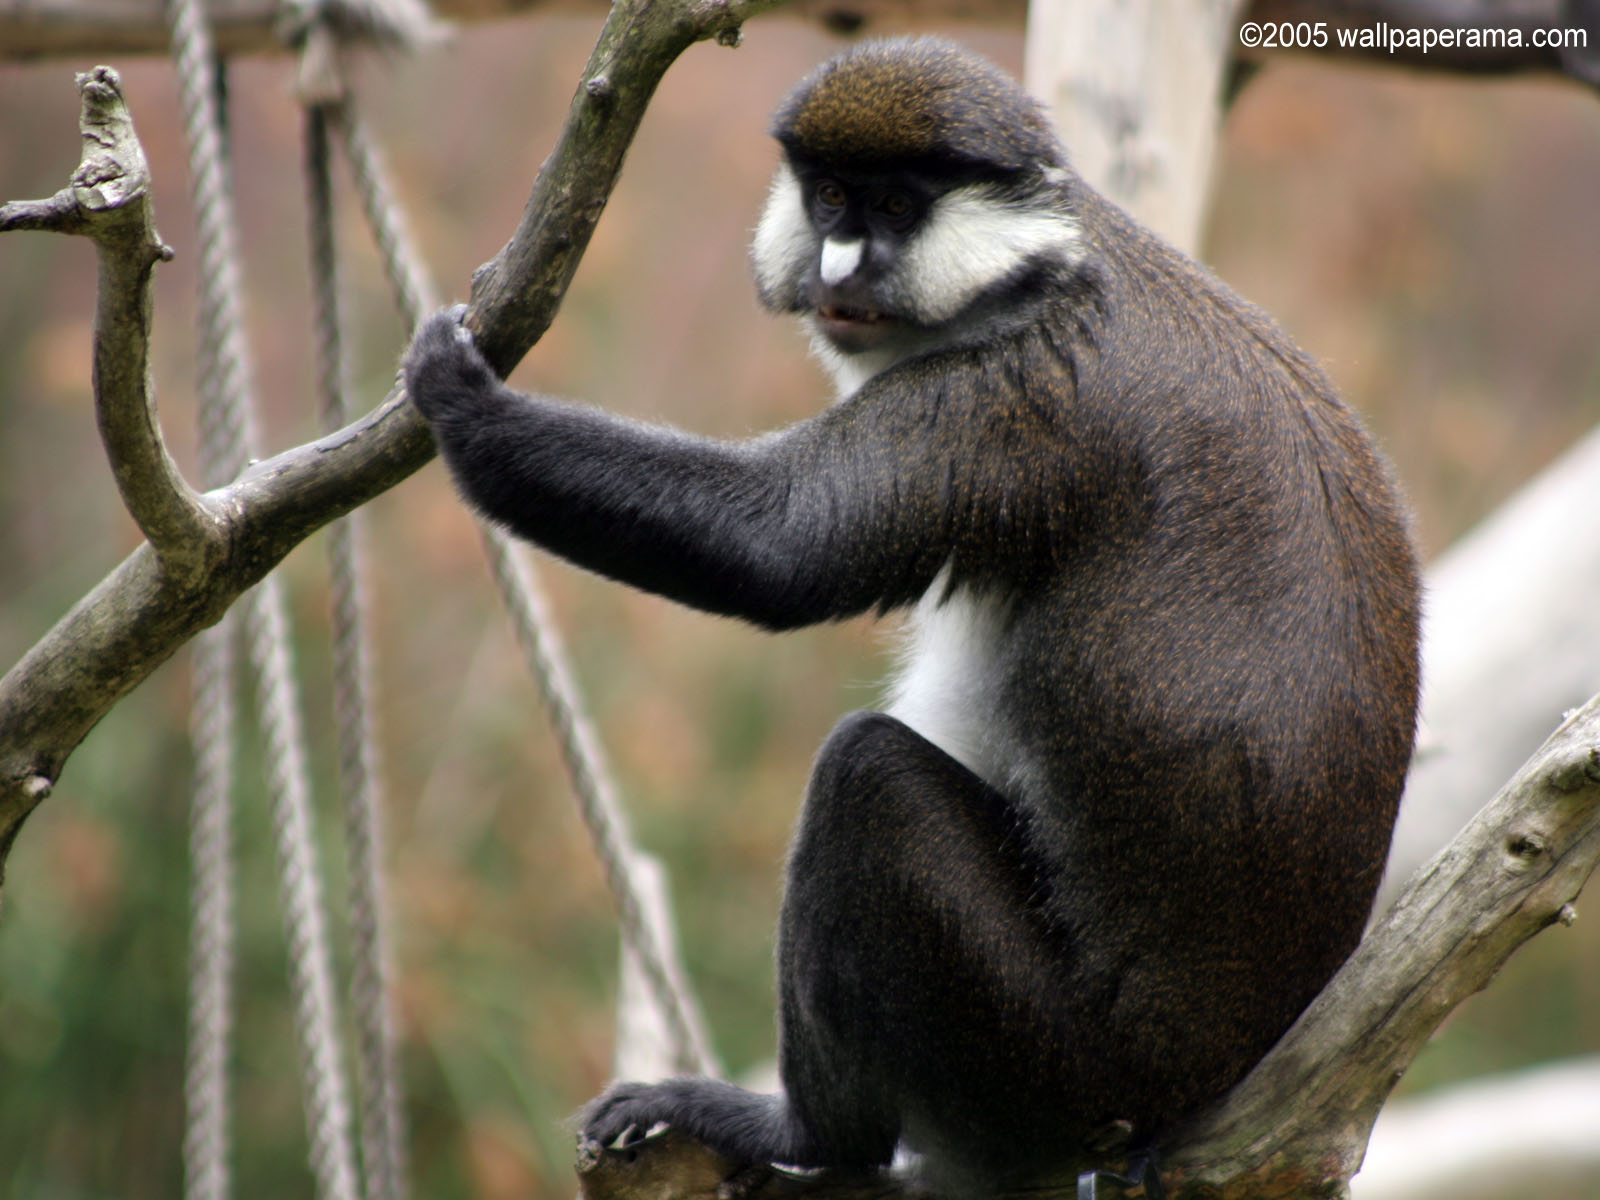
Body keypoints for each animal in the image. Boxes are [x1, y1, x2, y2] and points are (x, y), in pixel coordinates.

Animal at [403, 32, 1427, 1196]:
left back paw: (803, 1136)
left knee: (867, 779)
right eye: (832, 197)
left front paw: (462, 398)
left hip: (1055, 1064)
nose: (840, 268)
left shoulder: (1008, 399)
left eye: (896, 205)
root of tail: (1198, 1085)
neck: (1042, 267)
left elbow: (780, 549)